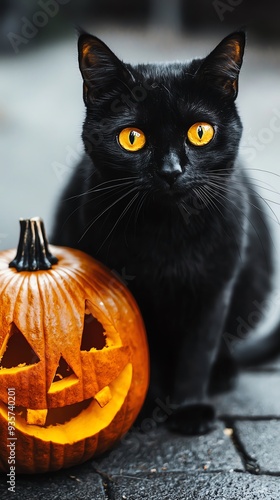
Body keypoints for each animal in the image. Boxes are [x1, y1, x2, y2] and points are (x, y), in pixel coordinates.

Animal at [52, 32, 278, 434]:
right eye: (132, 138)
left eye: (200, 132)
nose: (171, 171)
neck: (168, 234)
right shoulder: (127, 296)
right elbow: (147, 353)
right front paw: (146, 408)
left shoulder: (215, 289)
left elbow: (198, 353)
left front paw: (189, 410)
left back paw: (223, 375)